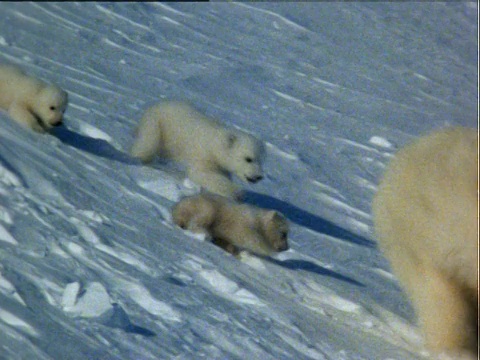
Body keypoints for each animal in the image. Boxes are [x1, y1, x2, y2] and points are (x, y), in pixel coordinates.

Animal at [131, 100, 264, 198]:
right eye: (248, 159)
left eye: (260, 160)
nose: (258, 176)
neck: (216, 143)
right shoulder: (204, 155)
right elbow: (202, 173)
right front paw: (237, 192)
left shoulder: (221, 165)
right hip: (157, 125)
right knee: (147, 144)